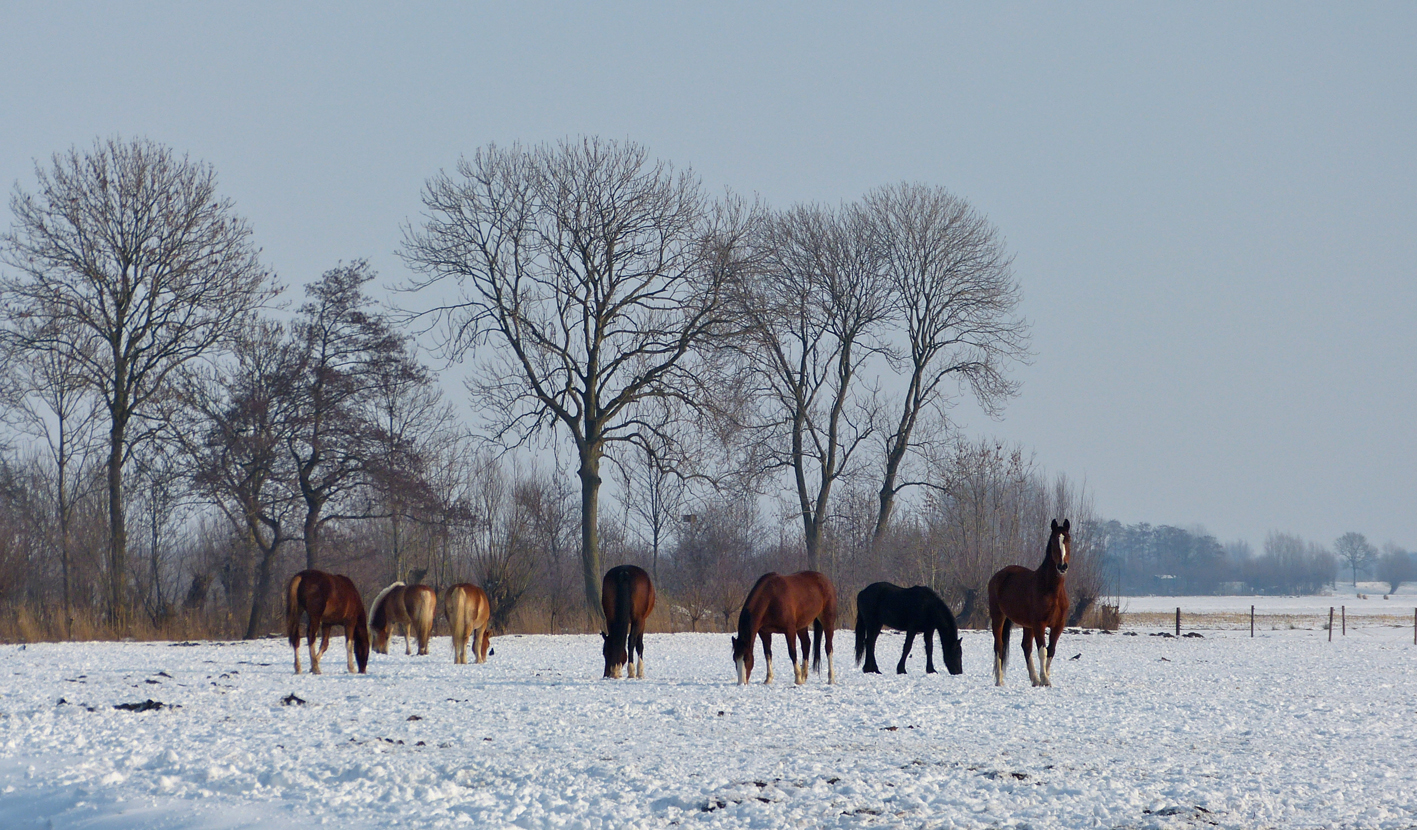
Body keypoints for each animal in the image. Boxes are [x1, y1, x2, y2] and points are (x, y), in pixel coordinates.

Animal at [988, 518, 1071, 687]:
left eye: (1067, 540)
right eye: (1054, 541)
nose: (1062, 566)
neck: (1052, 590)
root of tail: (998, 576)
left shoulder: (1058, 625)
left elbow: (1051, 651)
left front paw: (1046, 677)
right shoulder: (1039, 624)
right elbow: (1043, 651)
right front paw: (1045, 679)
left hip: (1027, 625)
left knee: (1026, 646)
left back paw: (1034, 679)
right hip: (998, 617)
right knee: (999, 646)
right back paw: (999, 680)